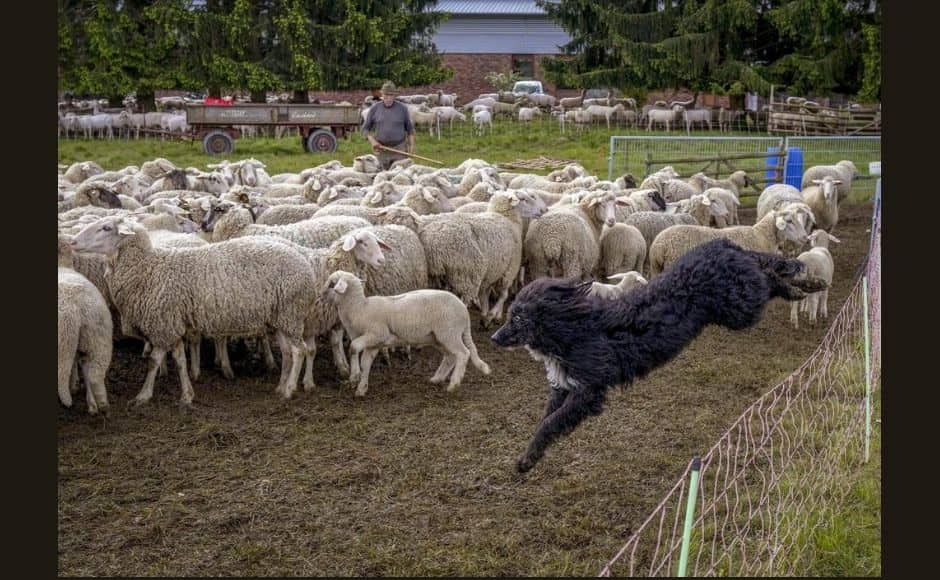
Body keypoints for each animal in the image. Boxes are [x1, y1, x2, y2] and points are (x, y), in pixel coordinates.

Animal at [58, 241, 112, 414]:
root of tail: (76, 307)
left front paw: (73, 384)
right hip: (98, 335)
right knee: (93, 372)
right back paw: (99, 403)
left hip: (64, 340)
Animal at [69, 216, 318, 403]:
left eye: (106, 228)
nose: (72, 242)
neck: (147, 269)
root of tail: (306, 263)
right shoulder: (172, 324)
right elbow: (179, 360)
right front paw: (186, 395)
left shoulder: (163, 324)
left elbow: (154, 361)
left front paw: (144, 395)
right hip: (281, 318)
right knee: (287, 352)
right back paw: (280, 387)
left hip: (291, 313)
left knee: (300, 351)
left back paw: (289, 390)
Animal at [324, 271, 490, 396]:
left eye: (332, 284)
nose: (321, 295)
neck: (359, 308)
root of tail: (464, 310)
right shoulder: (374, 344)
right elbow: (366, 364)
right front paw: (361, 388)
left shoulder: (377, 334)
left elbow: (353, 347)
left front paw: (354, 376)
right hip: (439, 337)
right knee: (450, 357)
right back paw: (437, 378)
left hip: (449, 333)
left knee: (463, 354)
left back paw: (454, 384)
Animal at [490, 238, 828, 472]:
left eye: (518, 317)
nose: (495, 337)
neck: (575, 327)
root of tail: (724, 244)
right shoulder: (564, 387)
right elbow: (546, 421)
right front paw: (529, 456)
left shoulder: (589, 390)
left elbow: (552, 422)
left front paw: (526, 460)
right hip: (740, 298)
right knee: (766, 267)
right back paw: (810, 282)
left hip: (742, 305)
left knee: (770, 277)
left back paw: (806, 285)